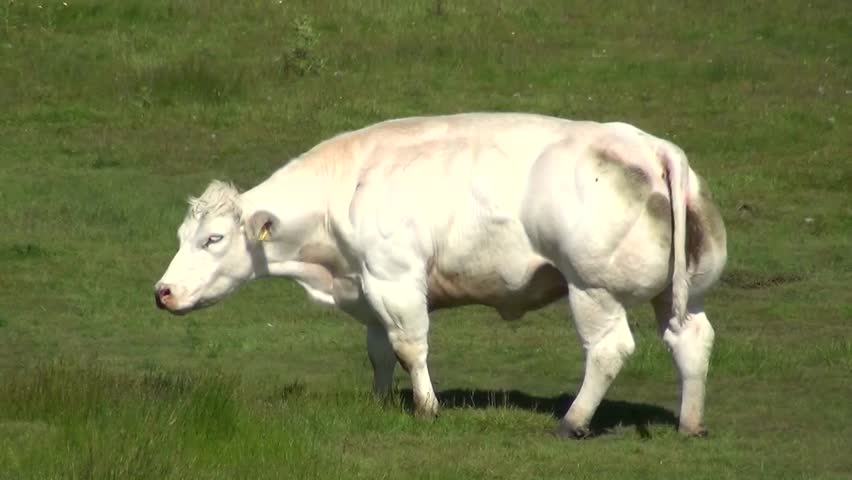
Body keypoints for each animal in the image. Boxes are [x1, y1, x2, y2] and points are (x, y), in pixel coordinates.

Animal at [154, 113, 727, 438]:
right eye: (182, 236)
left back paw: (573, 422)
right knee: (692, 339)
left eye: (213, 239)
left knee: (608, 351)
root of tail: (650, 146)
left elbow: (410, 348)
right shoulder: (369, 288)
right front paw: (380, 401)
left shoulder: (395, 280)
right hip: (680, 293)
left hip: (592, 288)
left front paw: (427, 408)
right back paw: (690, 424)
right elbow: (380, 352)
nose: (163, 292)